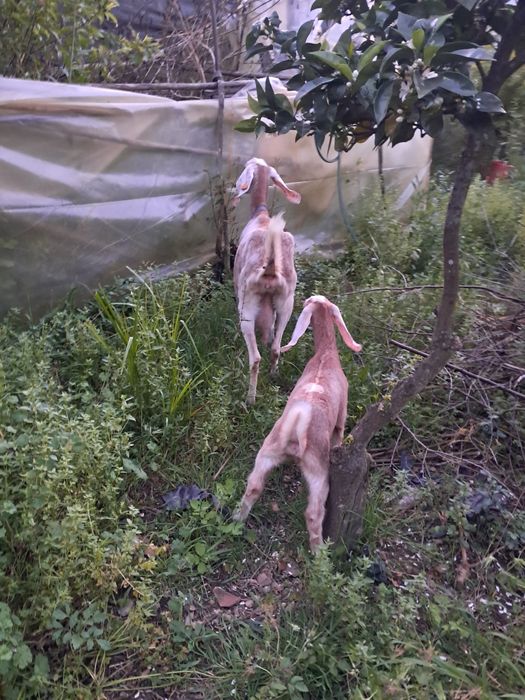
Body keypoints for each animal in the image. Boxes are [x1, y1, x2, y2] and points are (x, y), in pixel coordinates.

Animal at [232, 157, 301, 405]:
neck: (260, 215)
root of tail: (270, 268)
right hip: (286, 303)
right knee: (275, 348)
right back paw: (273, 377)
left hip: (247, 306)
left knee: (255, 358)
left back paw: (249, 400)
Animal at [233, 295, 362, 551]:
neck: (325, 355)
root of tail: (299, 418)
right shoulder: (341, 416)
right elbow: (340, 435)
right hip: (318, 471)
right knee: (313, 513)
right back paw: (320, 552)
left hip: (266, 454)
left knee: (253, 488)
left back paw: (235, 520)